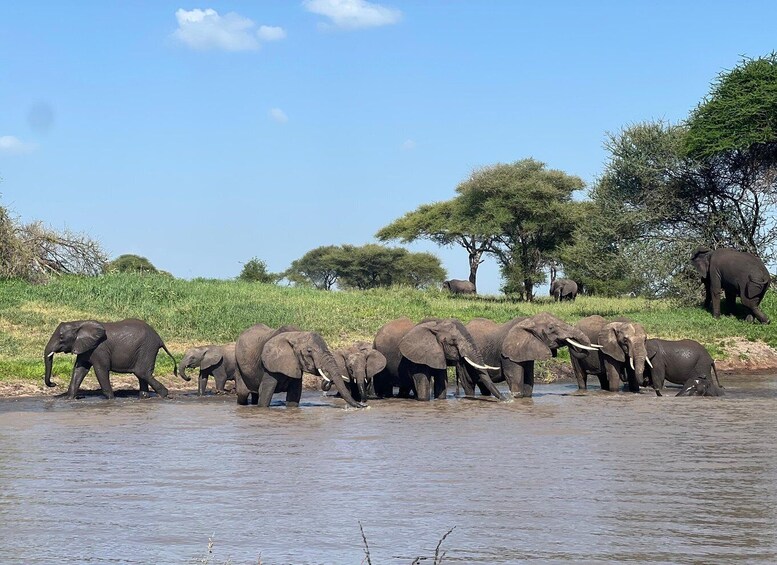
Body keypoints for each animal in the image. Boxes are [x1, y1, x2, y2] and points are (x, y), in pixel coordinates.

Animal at [44, 318, 184, 399]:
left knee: (142, 372)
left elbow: (101, 370)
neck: (79, 324)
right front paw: (70, 399)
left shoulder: (99, 349)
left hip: (147, 348)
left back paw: (164, 395)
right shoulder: (85, 348)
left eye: (61, 337)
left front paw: (111, 399)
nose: (54, 384)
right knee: (141, 374)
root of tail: (160, 339)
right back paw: (144, 397)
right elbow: (80, 370)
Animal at [234, 324, 366, 409]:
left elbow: (294, 396)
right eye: (309, 351)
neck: (295, 335)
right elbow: (265, 396)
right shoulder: (269, 365)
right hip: (238, 364)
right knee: (242, 393)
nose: (363, 405)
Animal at [373, 317, 507, 401]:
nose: (506, 400)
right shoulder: (416, 357)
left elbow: (441, 383)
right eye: (454, 341)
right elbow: (423, 384)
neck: (437, 325)